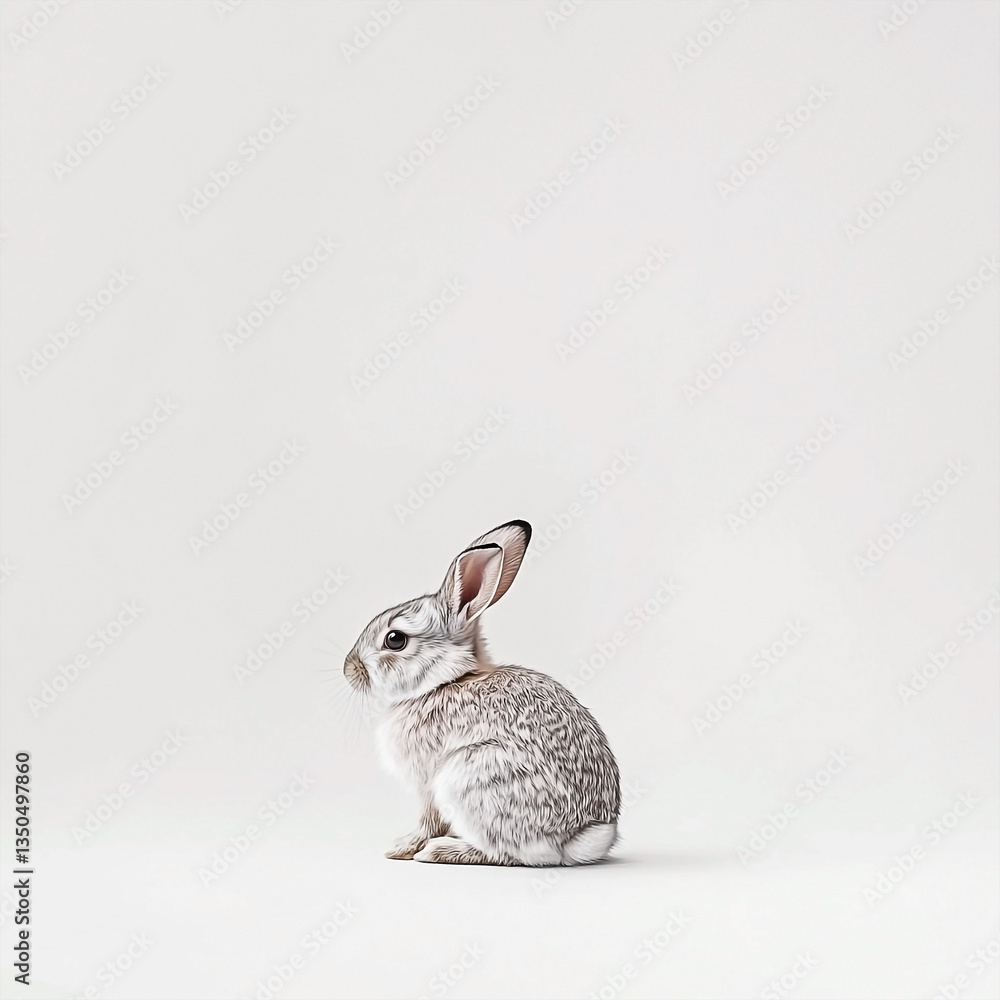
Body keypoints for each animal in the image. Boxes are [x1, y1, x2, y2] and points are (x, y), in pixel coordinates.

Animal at [343, 519, 620, 866]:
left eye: (395, 639)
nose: (349, 670)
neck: (445, 681)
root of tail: (575, 839)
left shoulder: (427, 784)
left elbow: (427, 821)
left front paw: (403, 847)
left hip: (468, 779)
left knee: (503, 852)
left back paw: (441, 851)